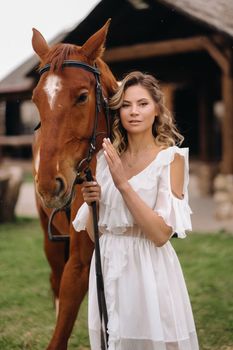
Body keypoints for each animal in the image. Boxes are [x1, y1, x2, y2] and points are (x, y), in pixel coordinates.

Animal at [31, 20, 117, 348]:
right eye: (35, 100)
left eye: (82, 96)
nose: (48, 184)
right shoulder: (78, 261)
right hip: (50, 240)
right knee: (55, 280)